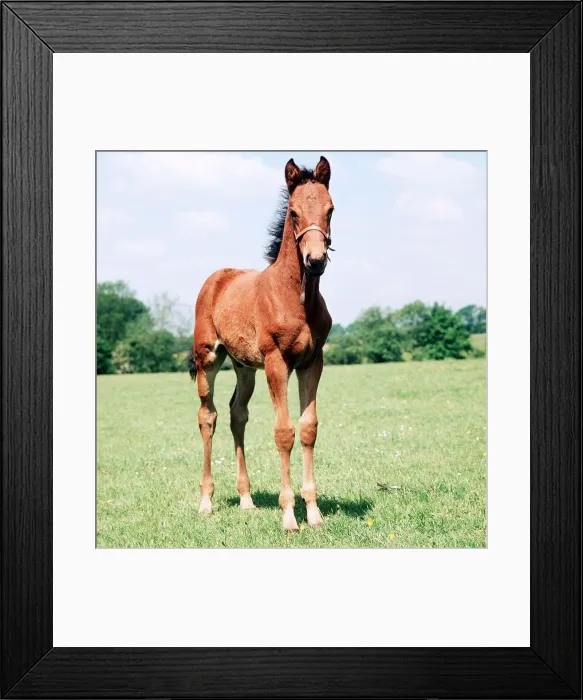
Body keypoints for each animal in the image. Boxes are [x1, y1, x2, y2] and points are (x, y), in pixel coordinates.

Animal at [190, 156, 334, 532]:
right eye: (294, 212)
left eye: (330, 209)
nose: (315, 261)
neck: (295, 297)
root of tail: (217, 278)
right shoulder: (276, 361)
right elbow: (284, 432)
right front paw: (289, 517)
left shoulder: (312, 362)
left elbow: (308, 428)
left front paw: (314, 513)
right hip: (208, 359)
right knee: (207, 416)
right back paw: (206, 501)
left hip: (244, 366)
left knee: (236, 414)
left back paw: (246, 499)